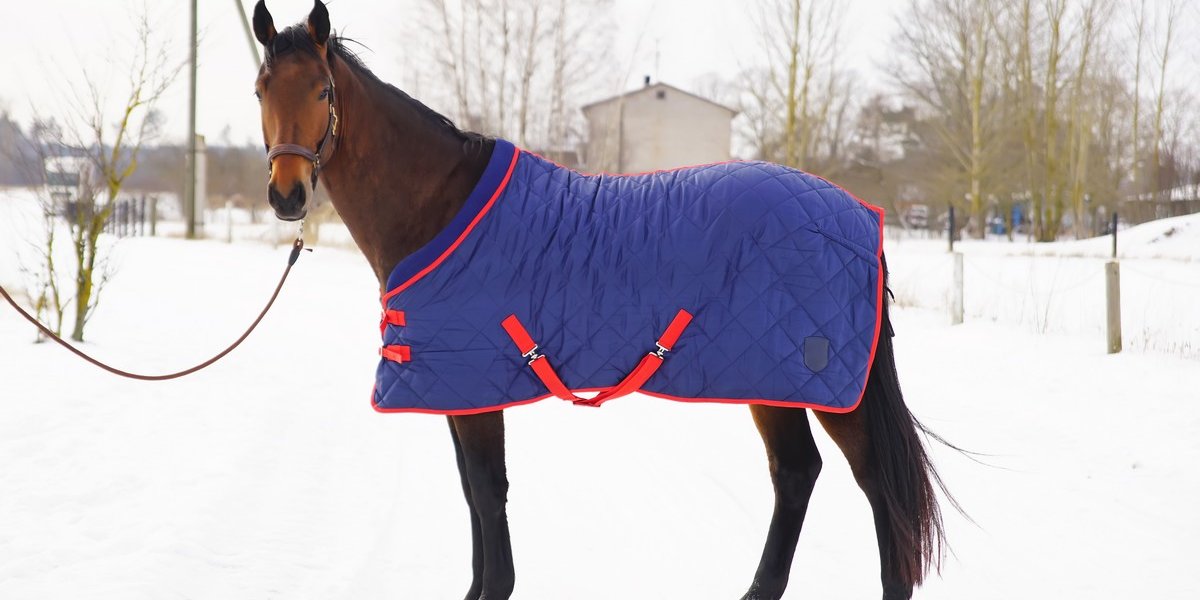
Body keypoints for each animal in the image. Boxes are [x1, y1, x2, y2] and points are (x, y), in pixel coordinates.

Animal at [249, 2, 948, 599]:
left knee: (873, 484)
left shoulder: (473, 388)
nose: (287, 195)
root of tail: (859, 215)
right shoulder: (455, 388)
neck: (439, 207)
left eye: (322, 91)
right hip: (771, 382)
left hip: (818, 386)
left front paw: (494, 587)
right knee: (798, 473)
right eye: (260, 89)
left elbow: (487, 491)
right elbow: (473, 494)